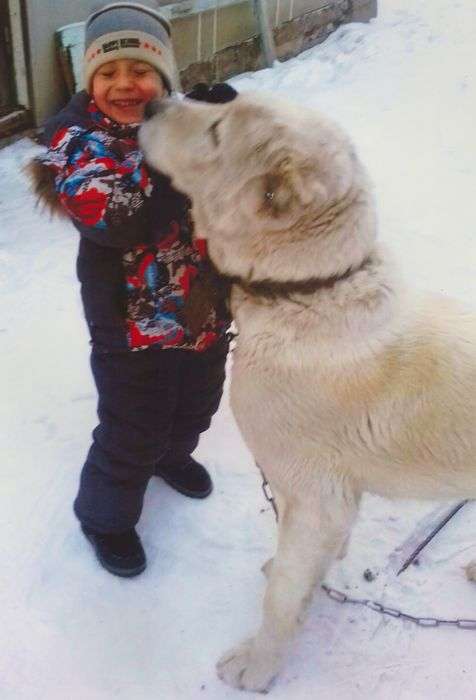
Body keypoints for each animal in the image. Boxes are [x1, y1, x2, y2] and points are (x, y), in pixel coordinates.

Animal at [139, 94, 476, 696]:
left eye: (217, 130)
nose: (153, 101)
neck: (309, 291)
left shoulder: (314, 494)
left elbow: (280, 598)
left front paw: (258, 664)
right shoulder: (326, 497)